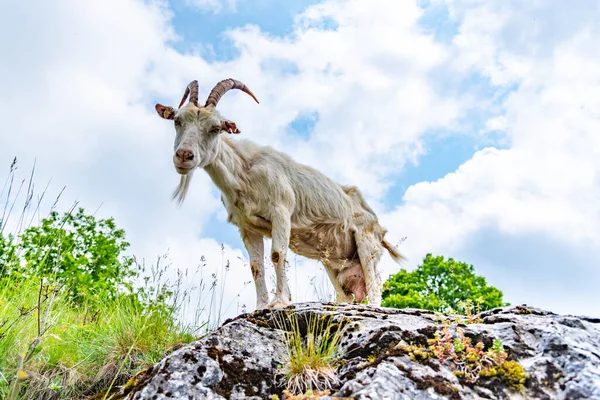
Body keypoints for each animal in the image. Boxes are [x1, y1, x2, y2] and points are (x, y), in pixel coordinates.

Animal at [156, 79, 404, 310]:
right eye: (177, 121)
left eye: (216, 127)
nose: (184, 155)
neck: (244, 174)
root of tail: (379, 228)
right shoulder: (247, 228)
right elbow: (256, 266)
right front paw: (260, 305)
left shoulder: (281, 213)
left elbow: (277, 255)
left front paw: (280, 301)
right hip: (333, 263)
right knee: (345, 295)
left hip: (366, 245)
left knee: (375, 287)